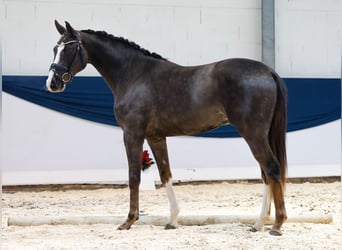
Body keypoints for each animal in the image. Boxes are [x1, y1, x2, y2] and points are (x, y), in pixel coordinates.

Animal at [44, 20, 286, 235]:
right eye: (55, 48)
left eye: (70, 48)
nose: (52, 83)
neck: (133, 74)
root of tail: (268, 71)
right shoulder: (156, 137)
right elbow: (165, 174)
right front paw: (172, 220)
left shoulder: (132, 134)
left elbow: (134, 176)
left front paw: (129, 221)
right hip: (259, 135)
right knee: (266, 174)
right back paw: (260, 223)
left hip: (253, 134)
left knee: (272, 169)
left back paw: (276, 225)